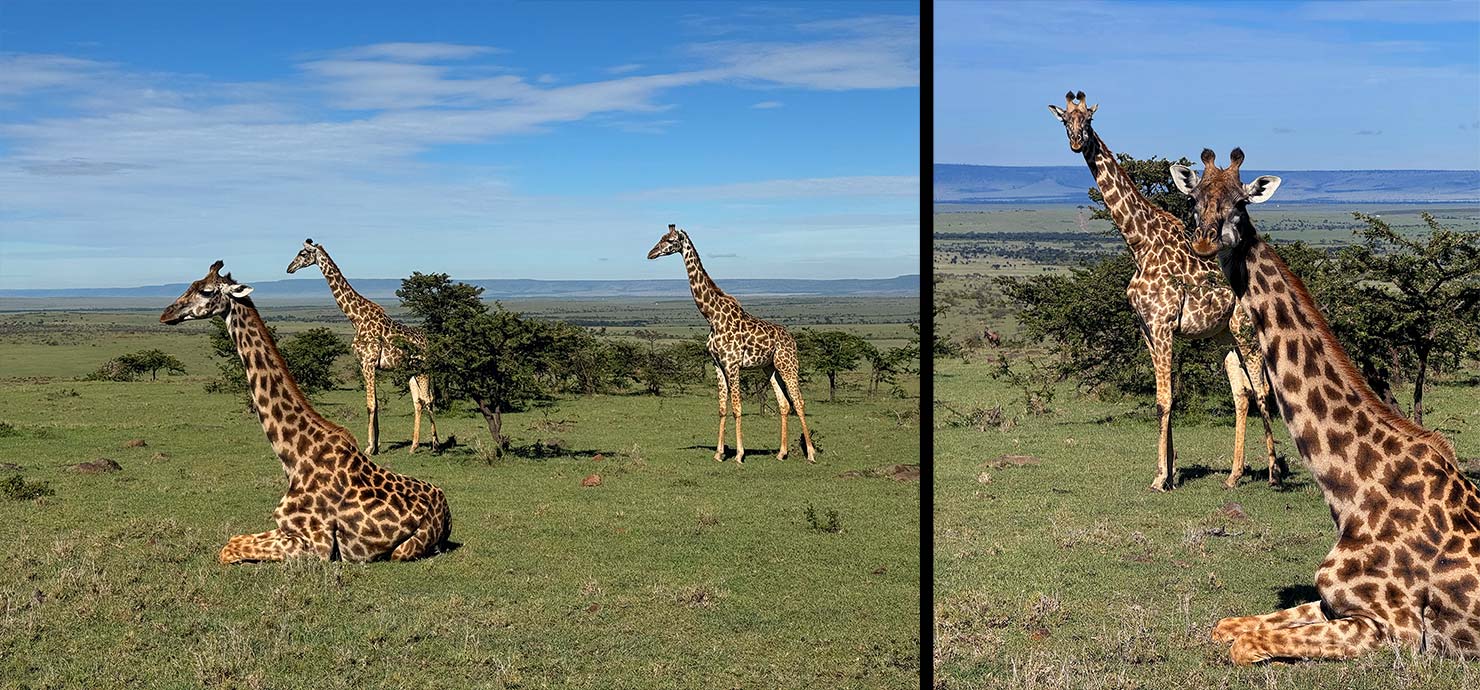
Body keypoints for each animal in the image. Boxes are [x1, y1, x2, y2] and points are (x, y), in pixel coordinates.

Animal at [160, 261, 452, 563]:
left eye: (206, 291)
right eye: (191, 284)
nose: (166, 314)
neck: (294, 455)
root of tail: (447, 513)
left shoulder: (317, 543)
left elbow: (228, 549)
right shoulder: (284, 527)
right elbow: (233, 540)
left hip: (403, 549)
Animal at [287, 239, 437, 455]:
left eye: (303, 254)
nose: (289, 268)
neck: (355, 318)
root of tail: (428, 341)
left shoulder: (368, 362)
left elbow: (370, 404)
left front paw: (368, 447)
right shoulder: (365, 365)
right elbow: (375, 403)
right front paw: (376, 445)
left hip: (423, 368)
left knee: (428, 399)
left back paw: (435, 445)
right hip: (410, 370)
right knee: (418, 402)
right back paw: (414, 446)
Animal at [647, 224, 817, 464]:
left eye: (670, 240)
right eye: (660, 237)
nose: (650, 253)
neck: (712, 317)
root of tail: (792, 338)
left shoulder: (732, 364)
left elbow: (737, 407)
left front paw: (738, 454)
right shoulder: (717, 364)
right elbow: (721, 408)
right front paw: (719, 453)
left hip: (788, 364)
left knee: (799, 402)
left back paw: (810, 453)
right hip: (770, 368)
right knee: (784, 404)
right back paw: (781, 453)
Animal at [1048, 90, 1281, 491]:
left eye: (1088, 119)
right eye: (1065, 120)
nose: (1077, 141)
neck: (1139, 242)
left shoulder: (1162, 324)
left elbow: (1164, 399)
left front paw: (1161, 479)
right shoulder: (1147, 328)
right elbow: (1164, 397)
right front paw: (1167, 472)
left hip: (1245, 330)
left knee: (1262, 390)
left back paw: (1273, 473)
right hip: (1224, 335)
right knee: (1242, 393)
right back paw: (1234, 475)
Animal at [1171, 148, 1480, 662]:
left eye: (1240, 203)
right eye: (1193, 199)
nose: (1204, 242)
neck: (1352, 491)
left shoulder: (1396, 629)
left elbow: (1244, 645)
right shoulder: (1333, 602)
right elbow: (1226, 626)